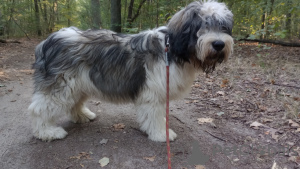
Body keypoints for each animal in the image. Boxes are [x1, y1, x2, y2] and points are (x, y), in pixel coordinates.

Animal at [28, 0, 234, 142]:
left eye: (223, 26)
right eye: (202, 25)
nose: (218, 44)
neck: (174, 49)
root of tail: (48, 41)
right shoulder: (153, 94)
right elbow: (154, 116)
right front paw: (161, 134)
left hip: (78, 84)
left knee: (74, 103)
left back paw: (82, 115)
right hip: (61, 85)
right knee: (39, 109)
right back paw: (47, 132)